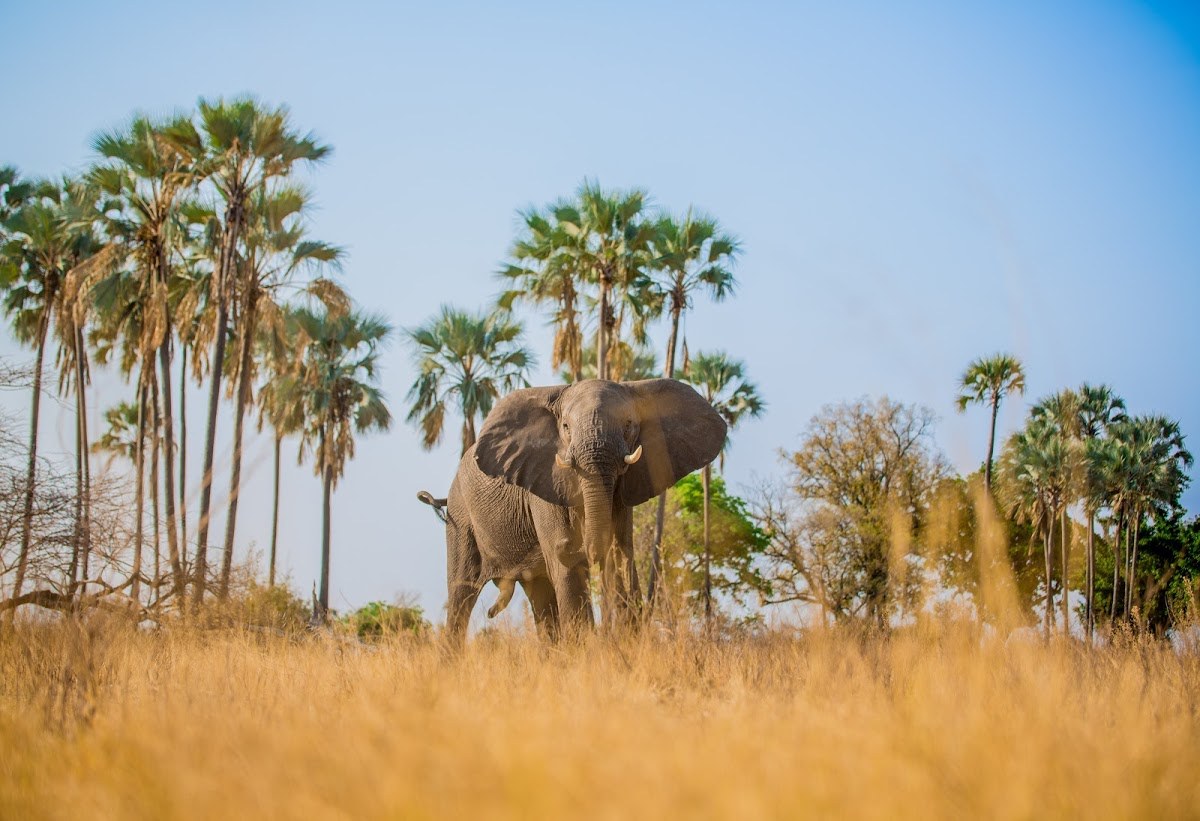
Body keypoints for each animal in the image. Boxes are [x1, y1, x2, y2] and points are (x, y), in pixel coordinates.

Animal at [422, 374, 720, 643]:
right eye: (565, 426)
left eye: (628, 424)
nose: (583, 549)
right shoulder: (544, 480)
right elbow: (567, 568)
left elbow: (621, 557)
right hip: (461, 516)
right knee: (462, 592)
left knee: (539, 595)